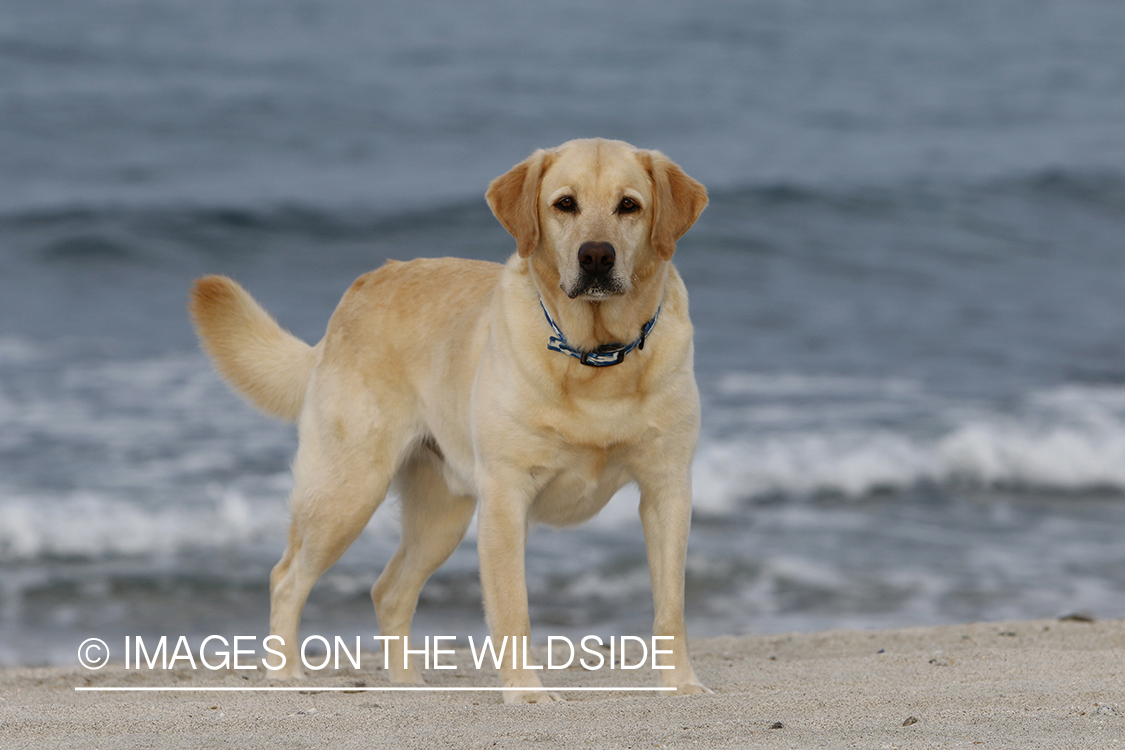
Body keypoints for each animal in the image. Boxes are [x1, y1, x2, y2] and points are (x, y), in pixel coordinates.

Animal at [189, 136, 706, 706]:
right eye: (565, 204)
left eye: (629, 206)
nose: (596, 256)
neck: (595, 359)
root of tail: (355, 293)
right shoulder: (506, 496)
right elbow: (513, 608)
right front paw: (526, 692)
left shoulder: (667, 490)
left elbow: (671, 608)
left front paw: (681, 683)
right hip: (348, 492)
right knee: (287, 577)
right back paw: (285, 673)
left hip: (442, 515)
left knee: (389, 591)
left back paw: (407, 682)